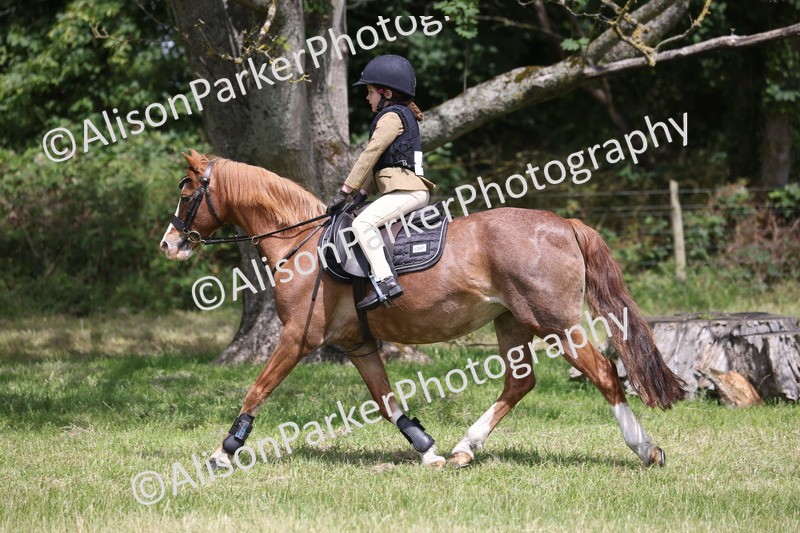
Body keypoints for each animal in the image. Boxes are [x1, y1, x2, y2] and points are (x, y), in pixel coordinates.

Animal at [160, 149, 685, 469]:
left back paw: (645, 449)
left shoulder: (297, 338)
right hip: (511, 323)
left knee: (605, 374)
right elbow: (387, 401)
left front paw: (224, 452)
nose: (169, 244)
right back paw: (464, 449)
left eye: (186, 193)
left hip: (555, 323)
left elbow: (257, 390)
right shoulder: (358, 345)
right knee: (520, 383)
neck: (302, 242)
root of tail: (563, 223)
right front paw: (427, 450)